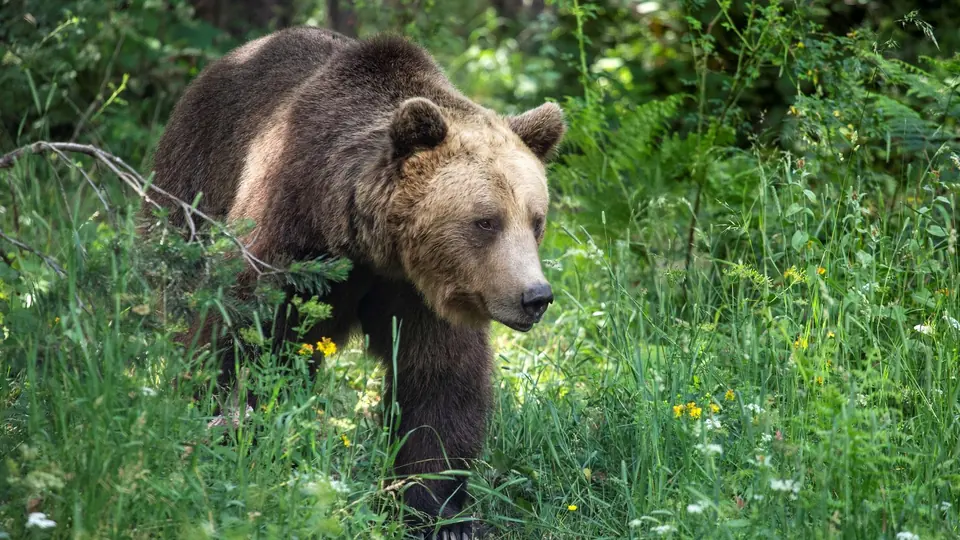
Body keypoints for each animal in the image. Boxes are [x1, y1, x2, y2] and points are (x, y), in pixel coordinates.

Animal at [147, 26, 565, 537]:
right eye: (486, 221)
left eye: (536, 220)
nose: (535, 297)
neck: (367, 245)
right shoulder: (288, 235)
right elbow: (235, 330)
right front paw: (221, 433)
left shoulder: (421, 292)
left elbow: (438, 380)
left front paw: (439, 512)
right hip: (191, 184)